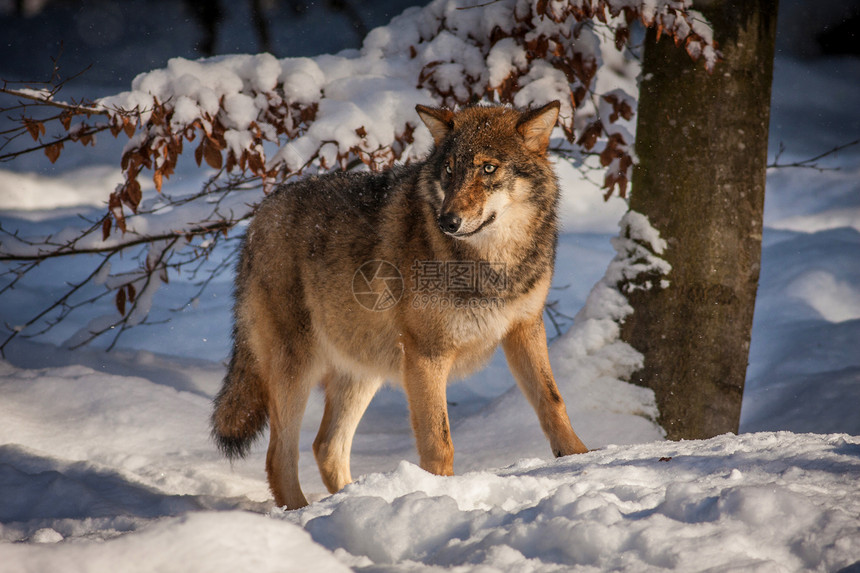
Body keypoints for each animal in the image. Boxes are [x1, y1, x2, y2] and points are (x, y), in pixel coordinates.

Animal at [212, 100, 588, 508]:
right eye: (449, 170)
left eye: (488, 168)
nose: (447, 221)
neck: (492, 266)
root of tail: (258, 217)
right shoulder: (427, 355)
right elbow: (439, 440)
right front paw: (441, 495)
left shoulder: (525, 329)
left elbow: (553, 402)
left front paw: (582, 459)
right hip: (297, 368)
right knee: (279, 456)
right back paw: (302, 512)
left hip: (363, 371)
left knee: (326, 447)